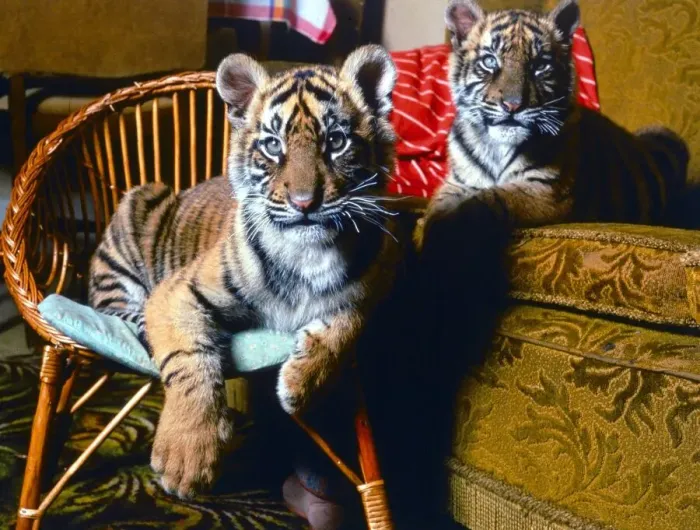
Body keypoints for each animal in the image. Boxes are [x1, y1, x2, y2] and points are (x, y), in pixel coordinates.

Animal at [87, 45, 399, 499]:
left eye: (336, 141)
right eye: (272, 145)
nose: (305, 203)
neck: (308, 254)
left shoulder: (372, 285)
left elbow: (345, 325)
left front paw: (299, 386)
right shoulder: (178, 291)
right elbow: (190, 357)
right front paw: (186, 458)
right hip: (138, 206)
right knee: (116, 309)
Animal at [416, 0, 690, 251]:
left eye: (540, 66)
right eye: (490, 61)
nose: (513, 106)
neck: (496, 147)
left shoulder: (546, 188)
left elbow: (489, 198)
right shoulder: (457, 182)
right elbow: (437, 206)